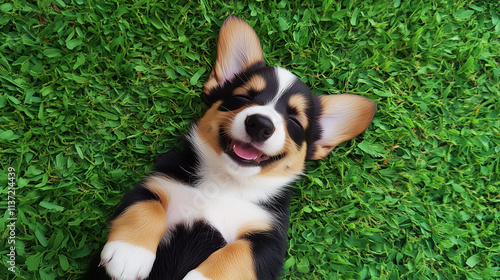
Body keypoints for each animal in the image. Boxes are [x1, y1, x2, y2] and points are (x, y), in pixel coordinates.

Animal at [87, 15, 376, 280]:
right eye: (243, 98)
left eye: (294, 121)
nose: (260, 124)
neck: (226, 184)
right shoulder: (155, 185)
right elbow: (147, 207)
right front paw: (129, 254)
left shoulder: (267, 243)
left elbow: (236, 253)